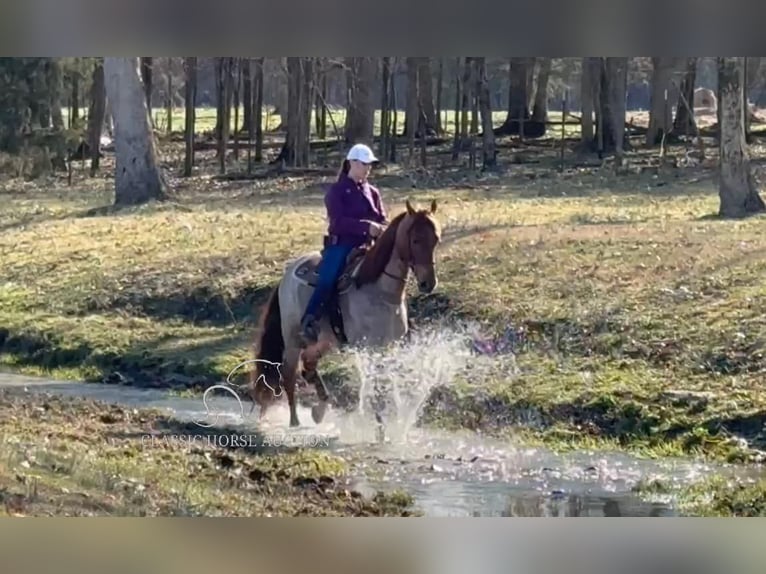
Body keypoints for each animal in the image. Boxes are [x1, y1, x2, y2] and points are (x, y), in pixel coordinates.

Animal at [249, 198, 440, 428]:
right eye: (416, 240)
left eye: (436, 239)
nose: (428, 283)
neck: (380, 292)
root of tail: (287, 275)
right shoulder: (369, 348)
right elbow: (376, 390)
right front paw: (381, 429)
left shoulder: (391, 347)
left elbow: (390, 386)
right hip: (293, 339)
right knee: (289, 373)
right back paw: (295, 421)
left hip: (324, 340)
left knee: (308, 366)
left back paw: (319, 411)